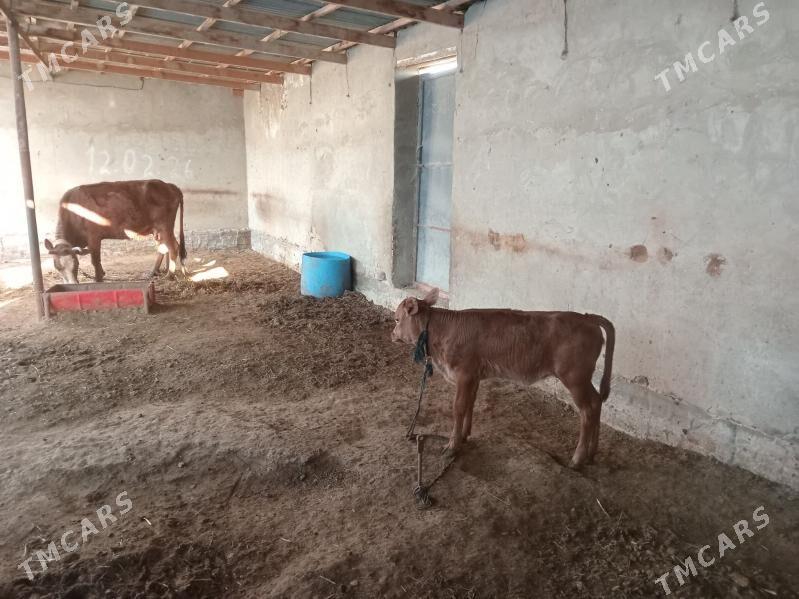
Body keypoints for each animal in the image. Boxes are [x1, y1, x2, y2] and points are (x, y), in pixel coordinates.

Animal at [43, 180, 187, 284]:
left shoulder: (94, 236)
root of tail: (168, 185)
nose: (73, 284)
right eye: (57, 267)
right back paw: (154, 272)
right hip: (157, 230)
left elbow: (95, 260)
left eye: (76, 265)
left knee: (173, 247)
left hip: (164, 226)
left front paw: (98, 279)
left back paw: (169, 275)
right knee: (163, 248)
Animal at [391, 288, 615, 468]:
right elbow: (470, 403)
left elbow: (459, 407)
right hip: (581, 378)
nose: (392, 334)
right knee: (597, 403)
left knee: (588, 410)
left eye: (397, 319)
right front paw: (464, 435)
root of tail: (587, 318)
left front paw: (452, 446)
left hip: (574, 377)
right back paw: (591, 454)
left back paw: (577, 459)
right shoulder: (473, 377)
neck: (441, 333)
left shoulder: (464, 374)